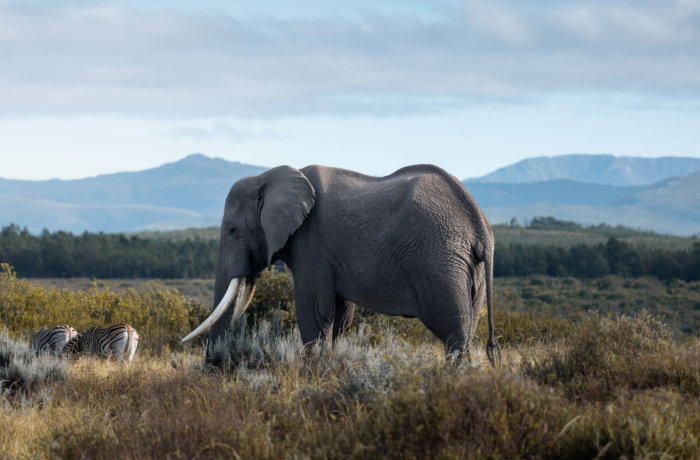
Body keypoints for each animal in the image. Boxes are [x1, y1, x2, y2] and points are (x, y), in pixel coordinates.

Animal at [182, 164, 499, 366]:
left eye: (233, 230)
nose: (213, 366)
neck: (268, 176)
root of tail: (479, 225)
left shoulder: (311, 242)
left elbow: (313, 309)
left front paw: (312, 373)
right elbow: (339, 315)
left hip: (440, 260)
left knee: (453, 331)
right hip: (468, 268)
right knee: (467, 327)